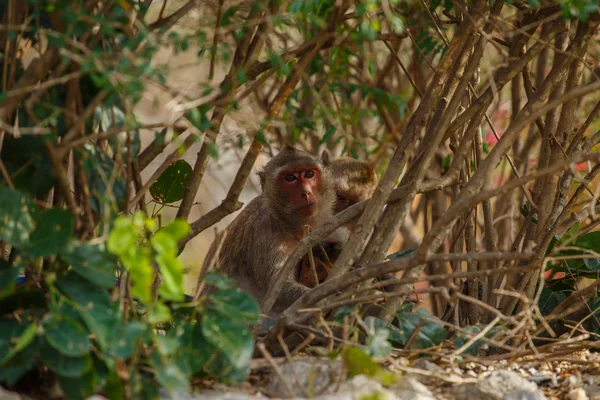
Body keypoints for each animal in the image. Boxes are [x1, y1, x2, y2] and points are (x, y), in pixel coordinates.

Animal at [197, 145, 338, 314]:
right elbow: (277, 293)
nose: (306, 192)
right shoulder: (262, 234)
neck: (287, 224)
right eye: (290, 178)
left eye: (309, 174)